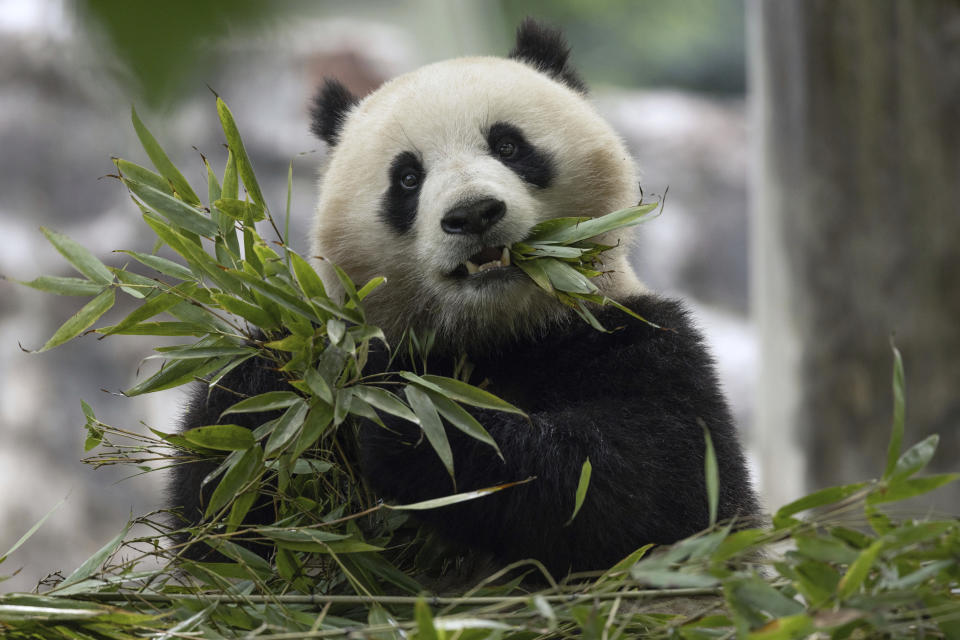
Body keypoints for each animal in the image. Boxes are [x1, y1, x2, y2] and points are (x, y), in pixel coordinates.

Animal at [169, 21, 760, 580]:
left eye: (509, 146)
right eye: (407, 177)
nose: (473, 213)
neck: (495, 331)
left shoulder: (638, 338)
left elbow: (657, 490)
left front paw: (412, 423)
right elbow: (224, 527)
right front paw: (278, 381)